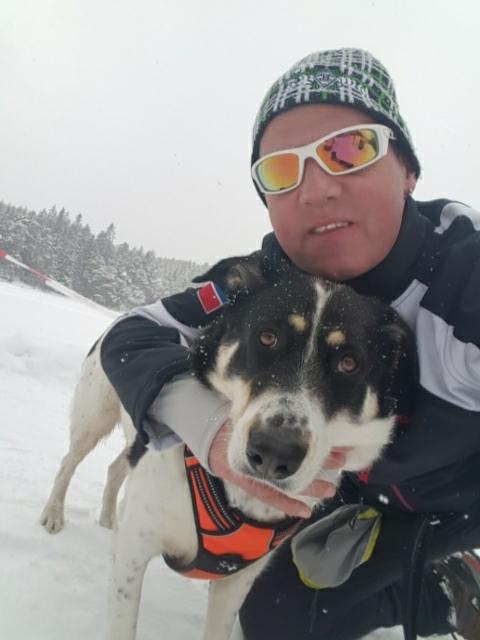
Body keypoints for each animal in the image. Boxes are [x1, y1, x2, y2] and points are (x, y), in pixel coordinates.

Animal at [40, 253, 417, 640]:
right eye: (267, 337)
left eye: (349, 363)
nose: (275, 452)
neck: (238, 493)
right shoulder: (134, 552)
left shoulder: (236, 583)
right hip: (93, 417)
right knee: (69, 461)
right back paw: (54, 514)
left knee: (117, 468)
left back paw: (107, 517)